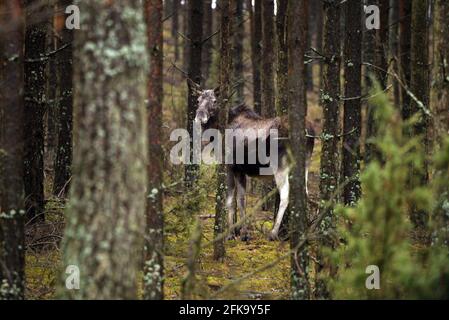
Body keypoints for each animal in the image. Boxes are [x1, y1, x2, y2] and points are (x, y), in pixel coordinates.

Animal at [193, 87, 316, 240]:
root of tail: (309, 131)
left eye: (214, 101)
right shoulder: (241, 170)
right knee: (305, 192)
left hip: (280, 166)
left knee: (285, 196)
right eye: (198, 100)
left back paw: (273, 233)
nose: (200, 117)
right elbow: (241, 199)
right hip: (305, 164)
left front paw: (230, 234)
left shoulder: (229, 166)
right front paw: (243, 233)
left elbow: (230, 201)